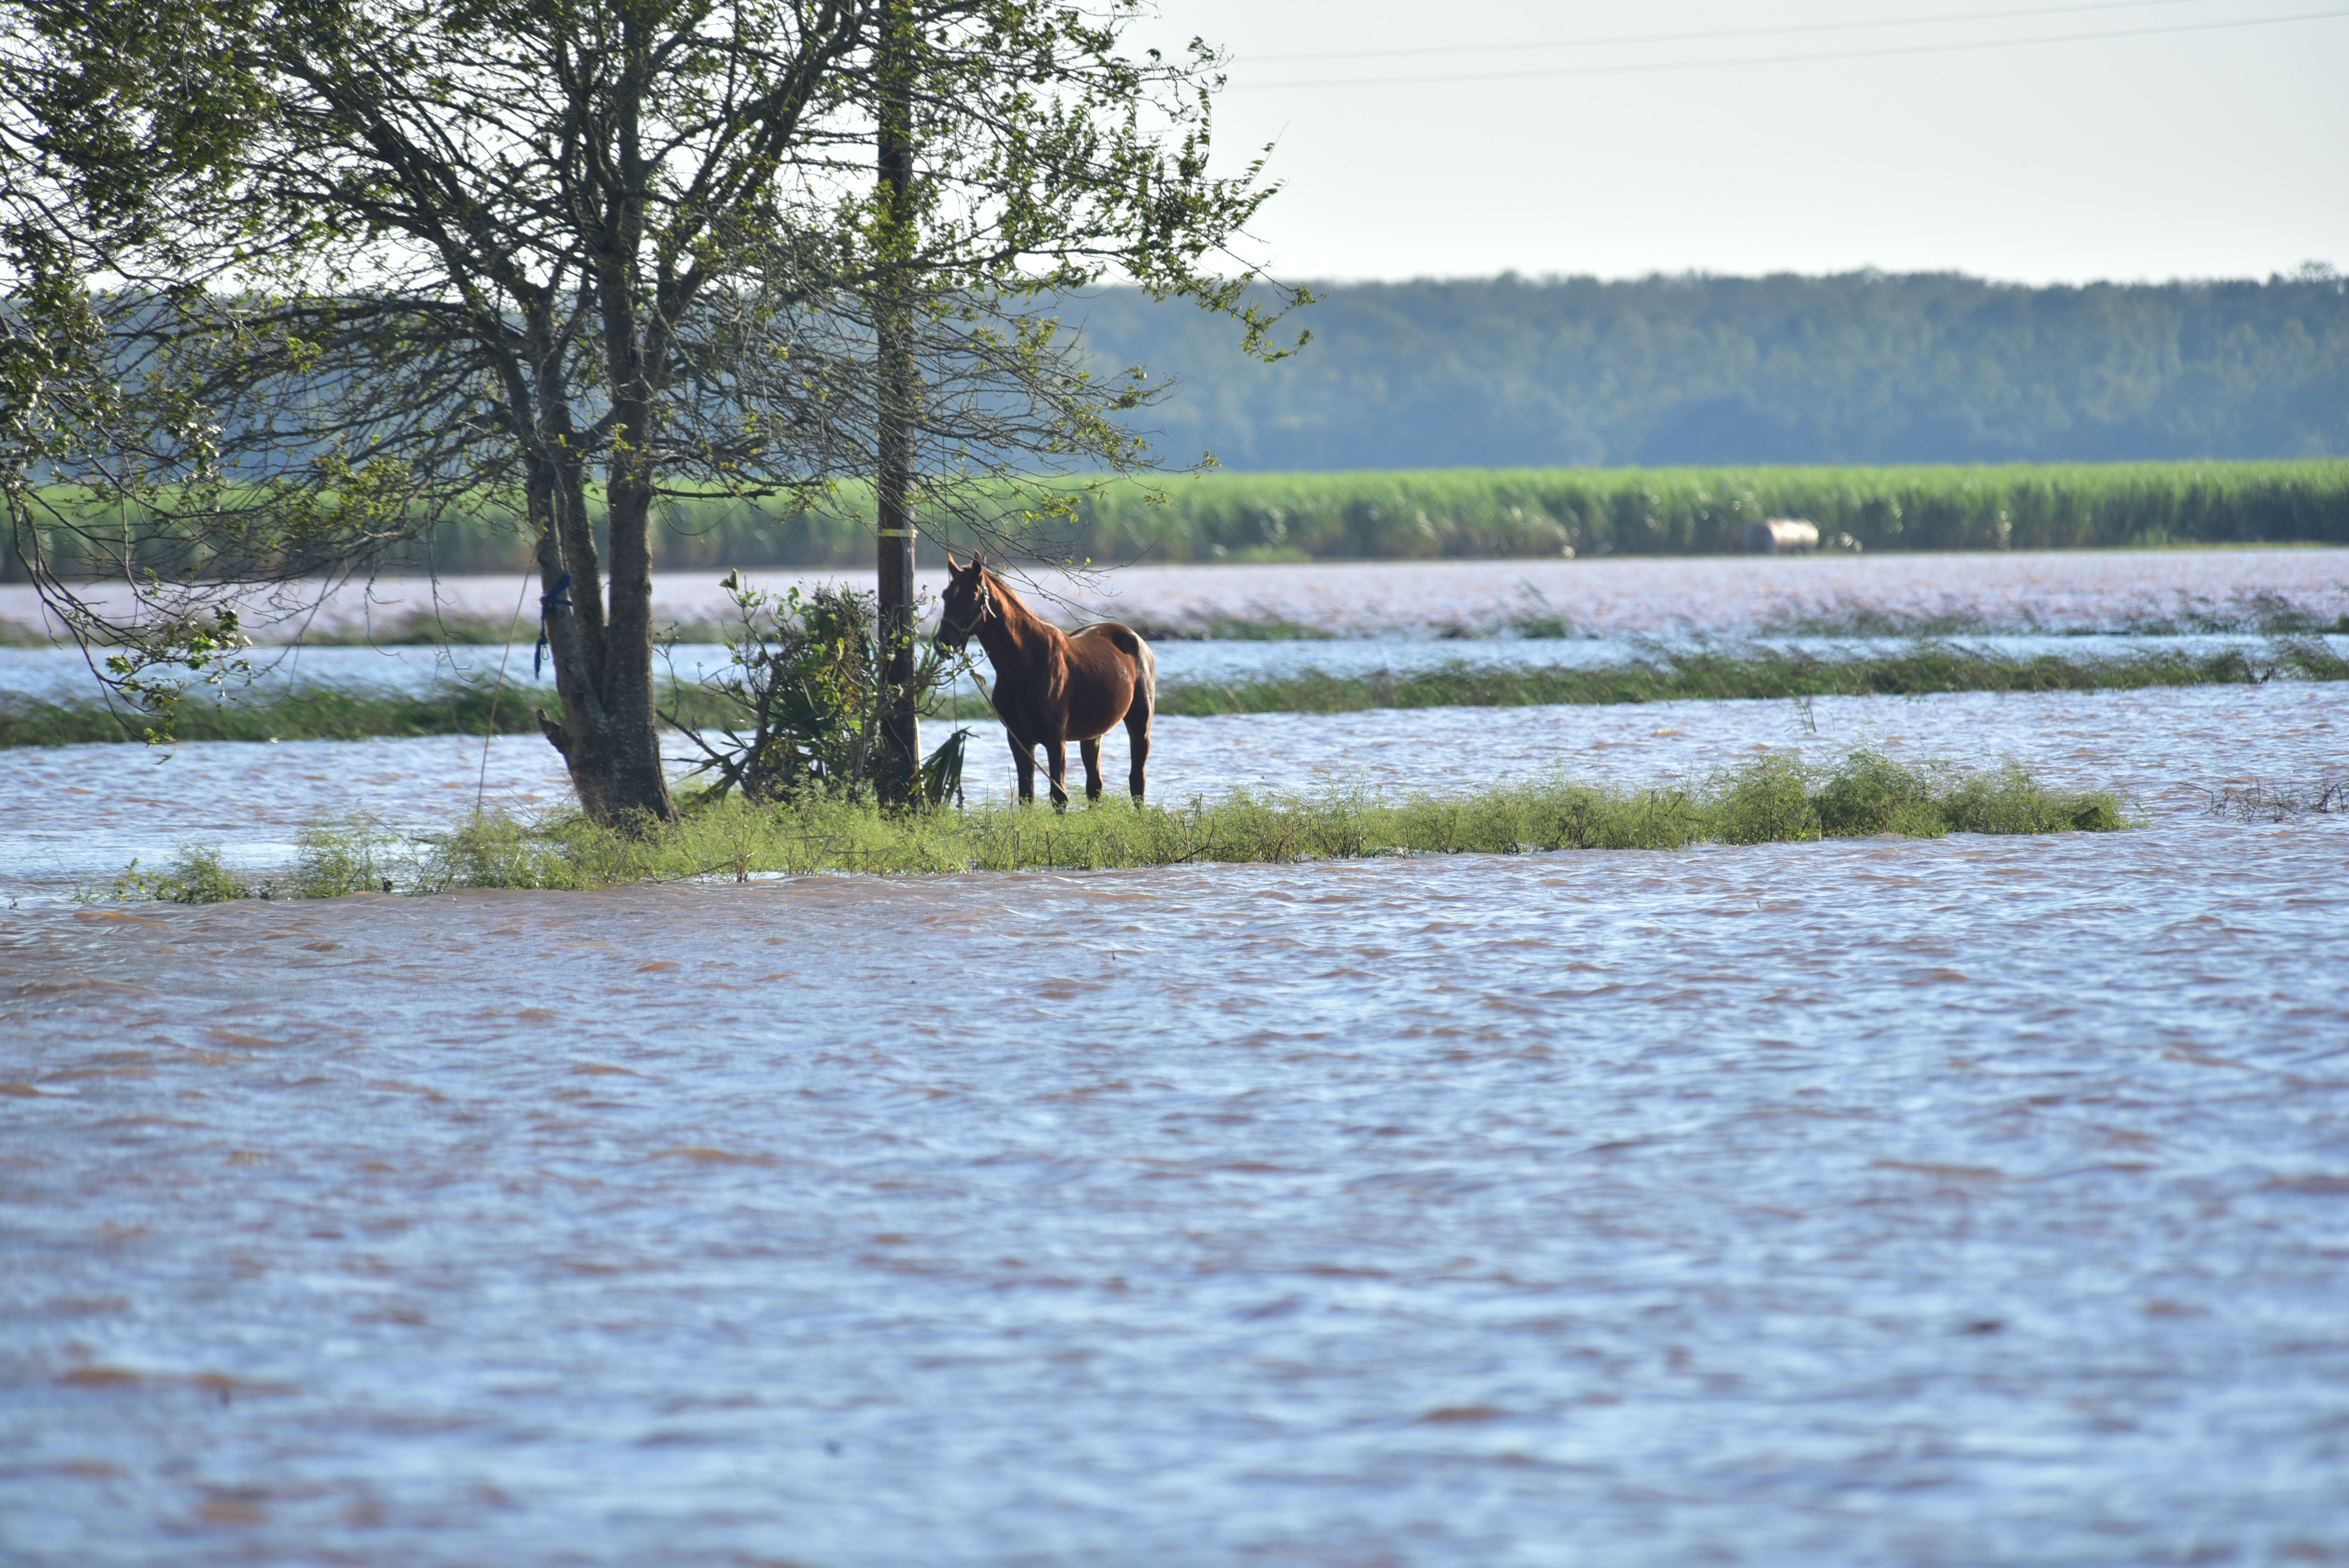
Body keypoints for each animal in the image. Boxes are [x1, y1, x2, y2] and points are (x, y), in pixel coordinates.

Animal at [934, 553, 1155, 808]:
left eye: (971, 597)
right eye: (945, 595)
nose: (943, 644)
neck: (1025, 666)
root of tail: (1138, 640)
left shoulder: (1055, 739)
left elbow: (1059, 796)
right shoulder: (1019, 739)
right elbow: (1026, 795)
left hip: (1140, 724)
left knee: (1137, 782)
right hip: (1092, 734)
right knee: (1095, 787)